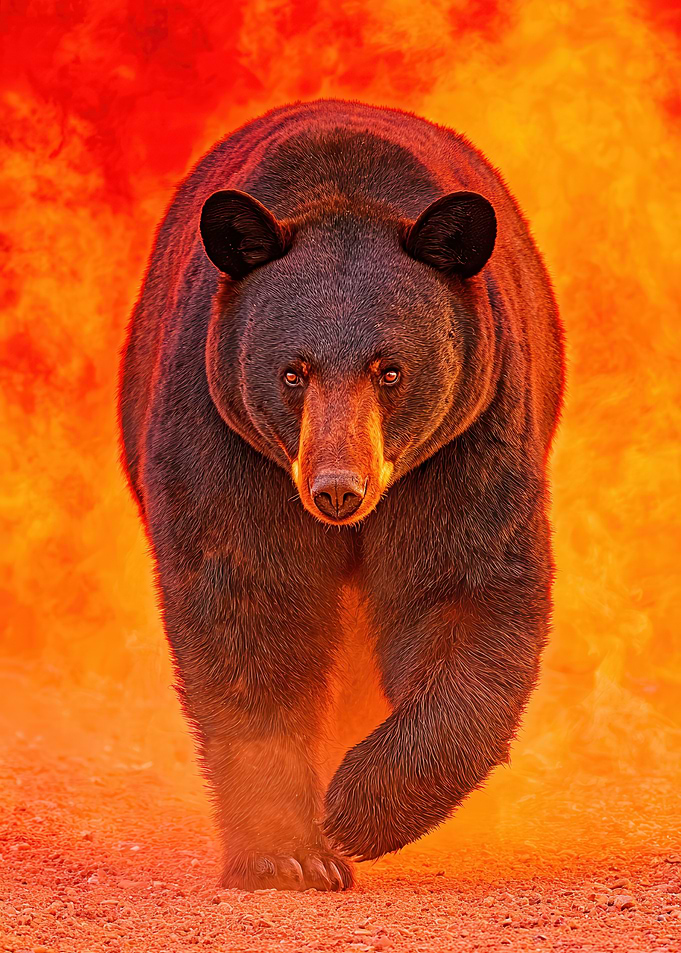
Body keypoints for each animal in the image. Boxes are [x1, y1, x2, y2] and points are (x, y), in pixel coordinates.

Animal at [118, 98, 565, 892]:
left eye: (390, 370)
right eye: (293, 372)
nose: (336, 491)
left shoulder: (467, 438)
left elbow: (466, 588)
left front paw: (358, 808)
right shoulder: (222, 435)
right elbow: (246, 603)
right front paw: (286, 851)